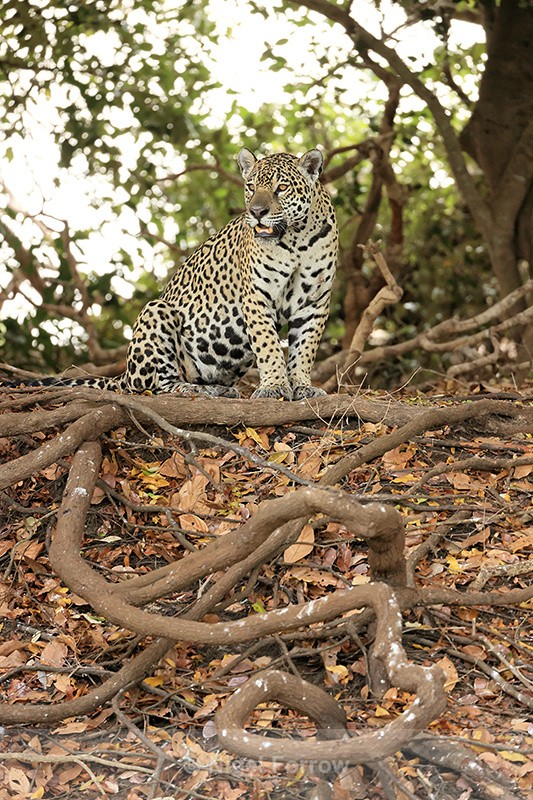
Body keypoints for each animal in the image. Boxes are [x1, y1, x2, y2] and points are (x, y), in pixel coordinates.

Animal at [4, 147, 338, 400]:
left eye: (282, 188)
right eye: (251, 187)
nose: (257, 212)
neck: (295, 239)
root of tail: (124, 373)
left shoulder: (315, 301)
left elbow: (305, 348)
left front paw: (303, 386)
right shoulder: (257, 297)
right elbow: (268, 345)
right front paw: (274, 387)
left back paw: (220, 388)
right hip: (156, 313)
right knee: (153, 386)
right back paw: (198, 390)